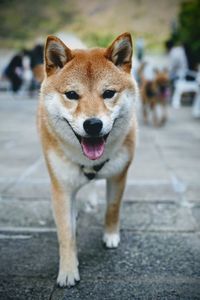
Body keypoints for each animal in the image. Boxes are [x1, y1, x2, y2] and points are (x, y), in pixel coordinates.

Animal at [37, 31, 138, 288]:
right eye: (72, 95)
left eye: (108, 93)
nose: (93, 124)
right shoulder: (61, 188)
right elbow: (66, 234)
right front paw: (67, 271)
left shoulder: (119, 175)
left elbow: (113, 208)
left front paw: (110, 236)